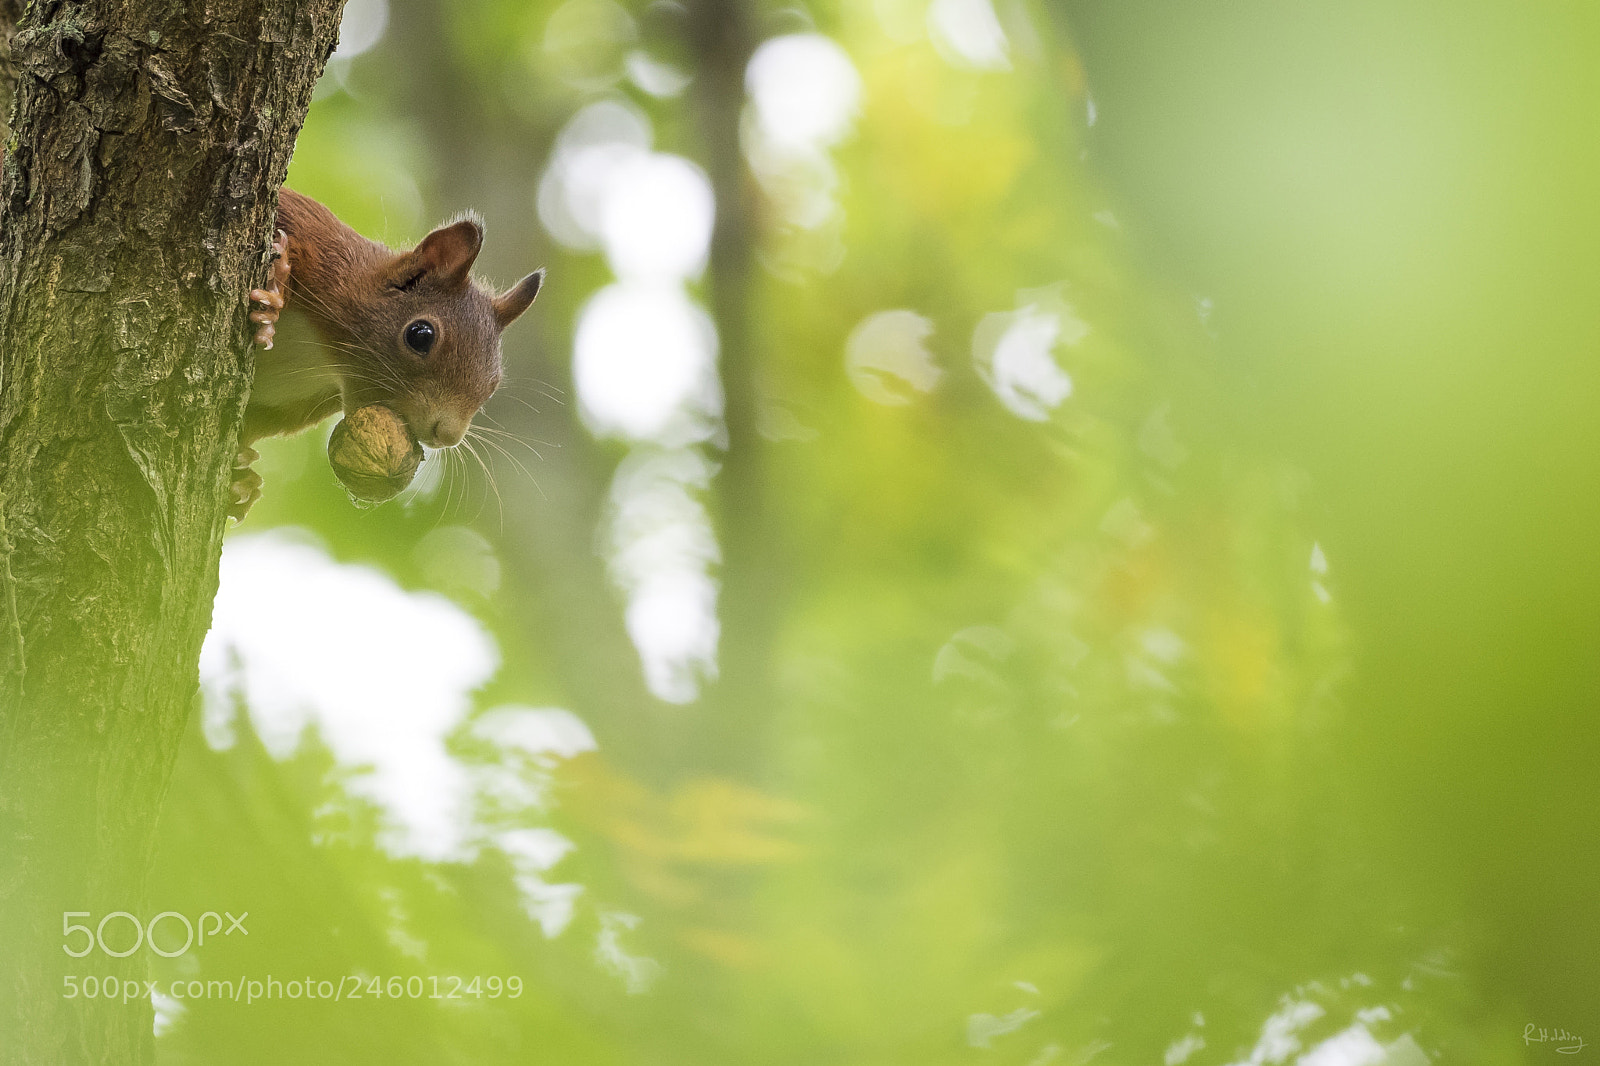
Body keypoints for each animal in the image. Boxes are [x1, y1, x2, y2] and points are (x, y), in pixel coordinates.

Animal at [232, 188, 544, 519]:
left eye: (493, 385)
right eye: (420, 335)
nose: (447, 436)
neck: (325, 354)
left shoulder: (290, 404)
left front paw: (241, 483)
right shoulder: (314, 238)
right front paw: (272, 300)